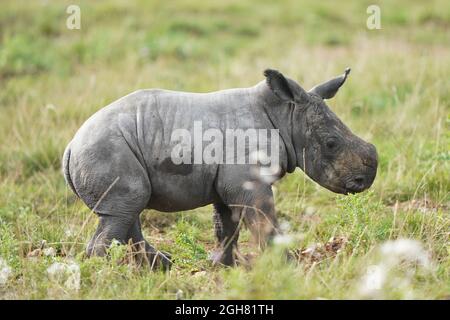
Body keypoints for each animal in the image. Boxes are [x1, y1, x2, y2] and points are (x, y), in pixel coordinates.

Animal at [63, 69, 378, 268]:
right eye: (331, 144)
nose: (364, 180)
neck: (285, 116)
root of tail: (70, 146)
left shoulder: (228, 181)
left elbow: (227, 225)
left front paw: (224, 266)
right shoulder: (246, 182)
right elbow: (263, 220)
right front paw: (288, 266)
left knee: (126, 209)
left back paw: (160, 266)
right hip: (105, 149)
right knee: (124, 209)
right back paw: (105, 274)